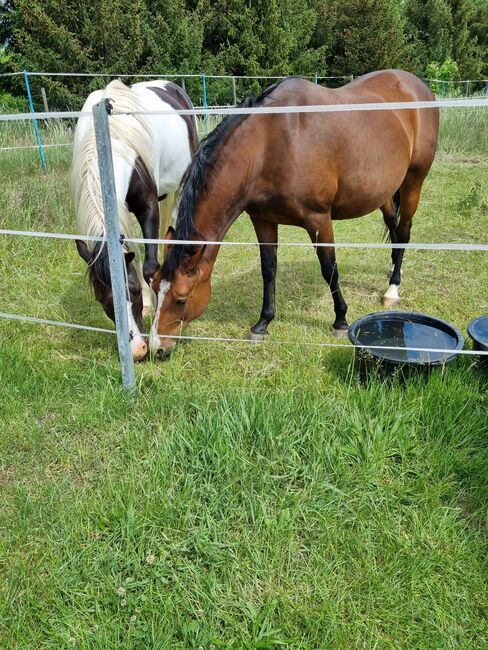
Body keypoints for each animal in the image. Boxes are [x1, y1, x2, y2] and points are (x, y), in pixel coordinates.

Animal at [71, 79, 197, 360]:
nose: (137, 350)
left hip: (180, 185)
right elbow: (135, 254)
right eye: (104, 302)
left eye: (135, 292)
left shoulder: (147, 207)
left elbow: (151, 267)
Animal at [148, 69, 438, 356]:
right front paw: (263, 323)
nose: (157, 348)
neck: (268, 146)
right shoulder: (262, 220)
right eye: (154, 287)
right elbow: (268, 269)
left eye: (181, 299)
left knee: (404, 231)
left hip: (413, 181)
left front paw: (340, 320)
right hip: (384, 191)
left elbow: (329, 269)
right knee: (393, 227)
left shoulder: (319, 220)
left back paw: (393, 288)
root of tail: (415, 84)